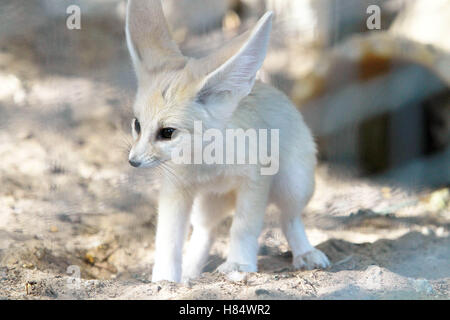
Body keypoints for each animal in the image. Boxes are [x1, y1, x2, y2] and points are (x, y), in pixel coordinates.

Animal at [125, 0, 328, 282]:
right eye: (137, 125)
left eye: (167, 132)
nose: (133, 161)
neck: (207, 162)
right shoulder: (176, 189)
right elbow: (168, 239)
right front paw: (165, 279)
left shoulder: (255, 181)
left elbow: (243, 227)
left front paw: (239, 264)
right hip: (205, 204)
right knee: (205, 231)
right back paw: (189, 274)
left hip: (293, 185)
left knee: (289, 218)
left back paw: (305, 253)